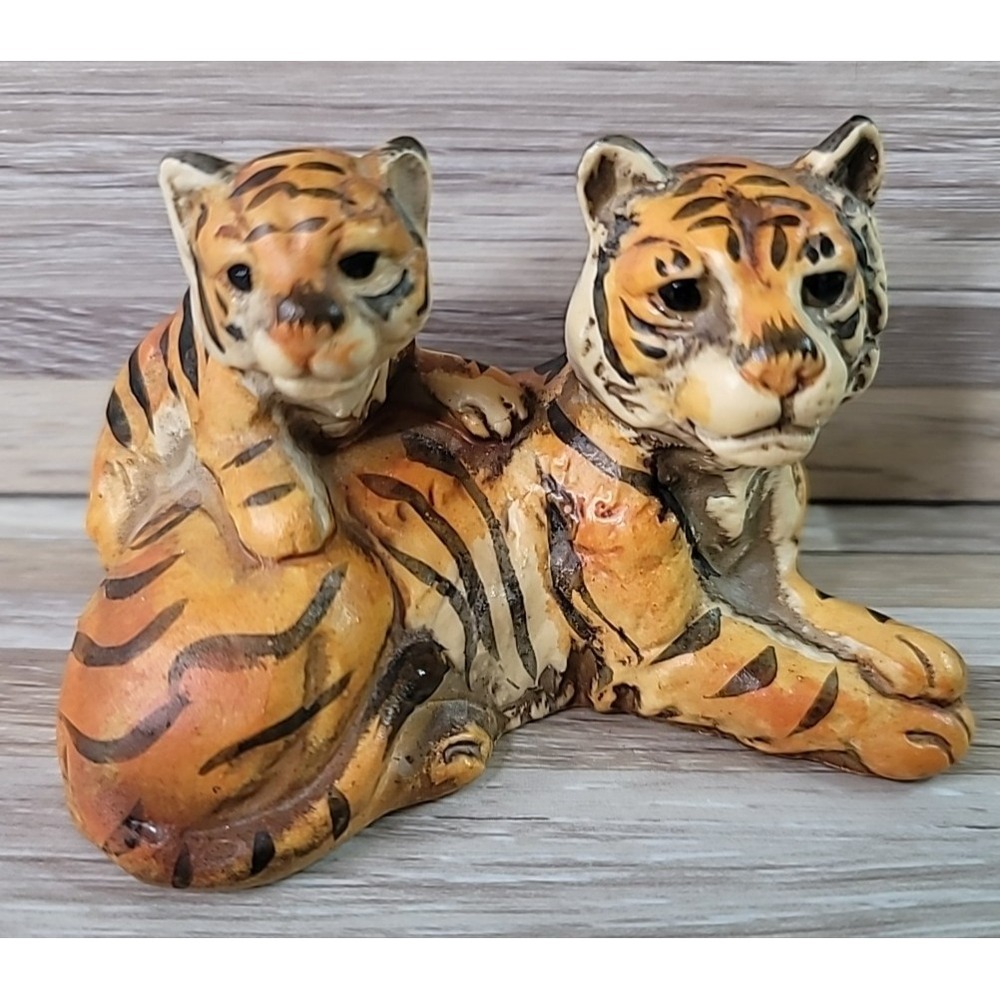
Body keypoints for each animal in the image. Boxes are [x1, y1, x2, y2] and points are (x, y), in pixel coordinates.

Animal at [88, 138, 528, 565]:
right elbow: (254, 449)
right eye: (240, 275)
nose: (301, 326)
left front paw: (487, 396)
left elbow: (434, 366)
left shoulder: (400, 360)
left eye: (360, 264)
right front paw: (288, 525)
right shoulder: (228, 400)